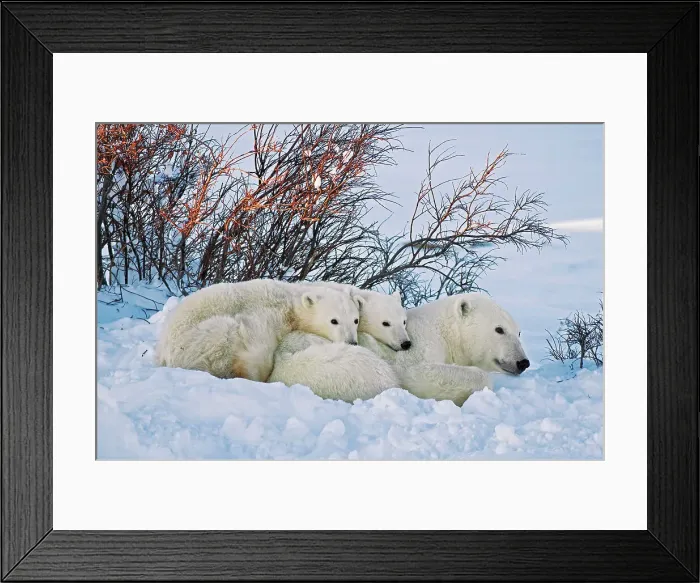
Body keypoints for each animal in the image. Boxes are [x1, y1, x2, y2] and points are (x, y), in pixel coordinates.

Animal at [155, 279, 361, 382]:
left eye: (355, 320)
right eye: (334, 320)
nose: (351, 342)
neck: (290, 305)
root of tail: (163, 354)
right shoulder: (264, 316)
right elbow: (257, 348)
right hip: (198, 340)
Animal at [269, 293, 529, 405]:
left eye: (519, 332)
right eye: (499, 329)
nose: (523, 362)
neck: (445, 331)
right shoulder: (419, 347)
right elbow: (420, 373)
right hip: (333, 366)